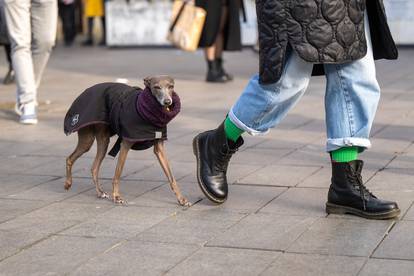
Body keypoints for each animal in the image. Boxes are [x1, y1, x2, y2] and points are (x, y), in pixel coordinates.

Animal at [64, 76, 190, 206]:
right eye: (156, 87)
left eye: (171, 86)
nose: (167, 101)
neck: (148, 112)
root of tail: (84, 92)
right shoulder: (125, 144)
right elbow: (118, 173)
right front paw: (117, 196)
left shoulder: (159, 148)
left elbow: (171, 177)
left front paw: (181, 199)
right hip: (87, 140)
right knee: (70, 159)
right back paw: (68, 183)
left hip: (103, 141)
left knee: (94, 168)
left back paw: (99, 192)